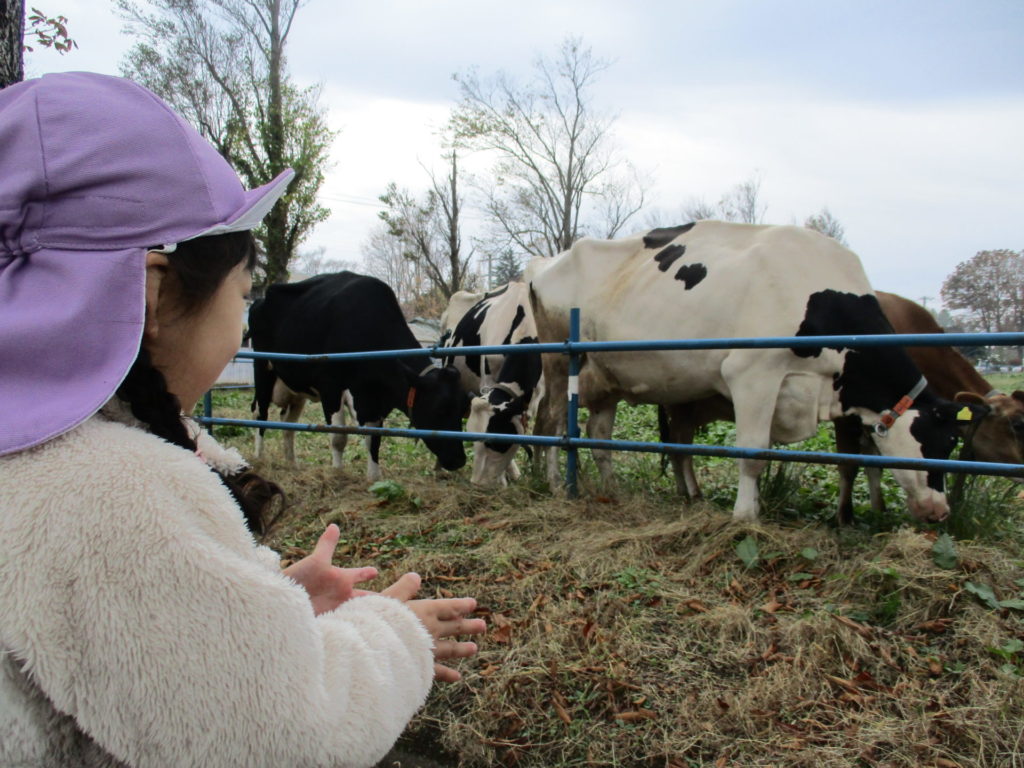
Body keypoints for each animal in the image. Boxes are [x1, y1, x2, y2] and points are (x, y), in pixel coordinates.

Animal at [248, 272, 468, 481]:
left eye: (461, 410)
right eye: (440, 410)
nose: (460, 460)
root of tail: (260, 300)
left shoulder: (373, 400)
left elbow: (374, 440)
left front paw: (374, 477)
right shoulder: (331, 388)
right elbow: (339, 437)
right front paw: (338, 473)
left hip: (296, 388)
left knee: (288, 423)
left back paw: (292, 463)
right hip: (263, 369)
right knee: (261, 414)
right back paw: (259, 457)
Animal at [529, 221, 983, 522]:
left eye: (954, 445)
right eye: (938, 445)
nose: (940, 511)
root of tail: (546, 263)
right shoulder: (752, 373)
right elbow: (753, 454)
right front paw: (746, 516)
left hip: (607, 379)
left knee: (598, 436)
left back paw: (610, 491)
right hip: (560, 362)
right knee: (552, 422)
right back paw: (553, 485)